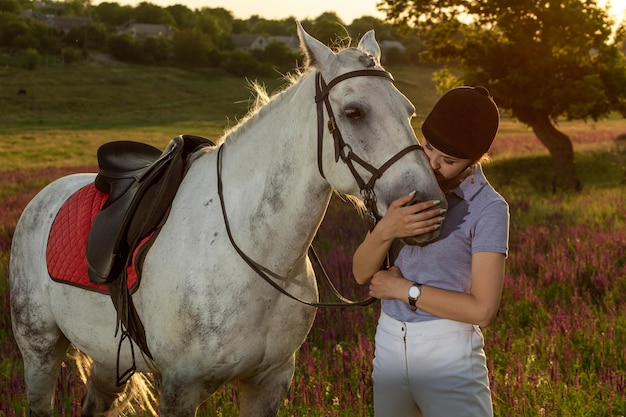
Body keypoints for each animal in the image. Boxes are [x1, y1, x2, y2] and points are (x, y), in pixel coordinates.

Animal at [9, 23, 444, 416]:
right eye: (354, 112)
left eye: (408, 111)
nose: (430, 209)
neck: (253, 257)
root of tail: (44, 196)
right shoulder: (181, 387)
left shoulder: (270, 382)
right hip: (40, 351)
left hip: (105, 359)